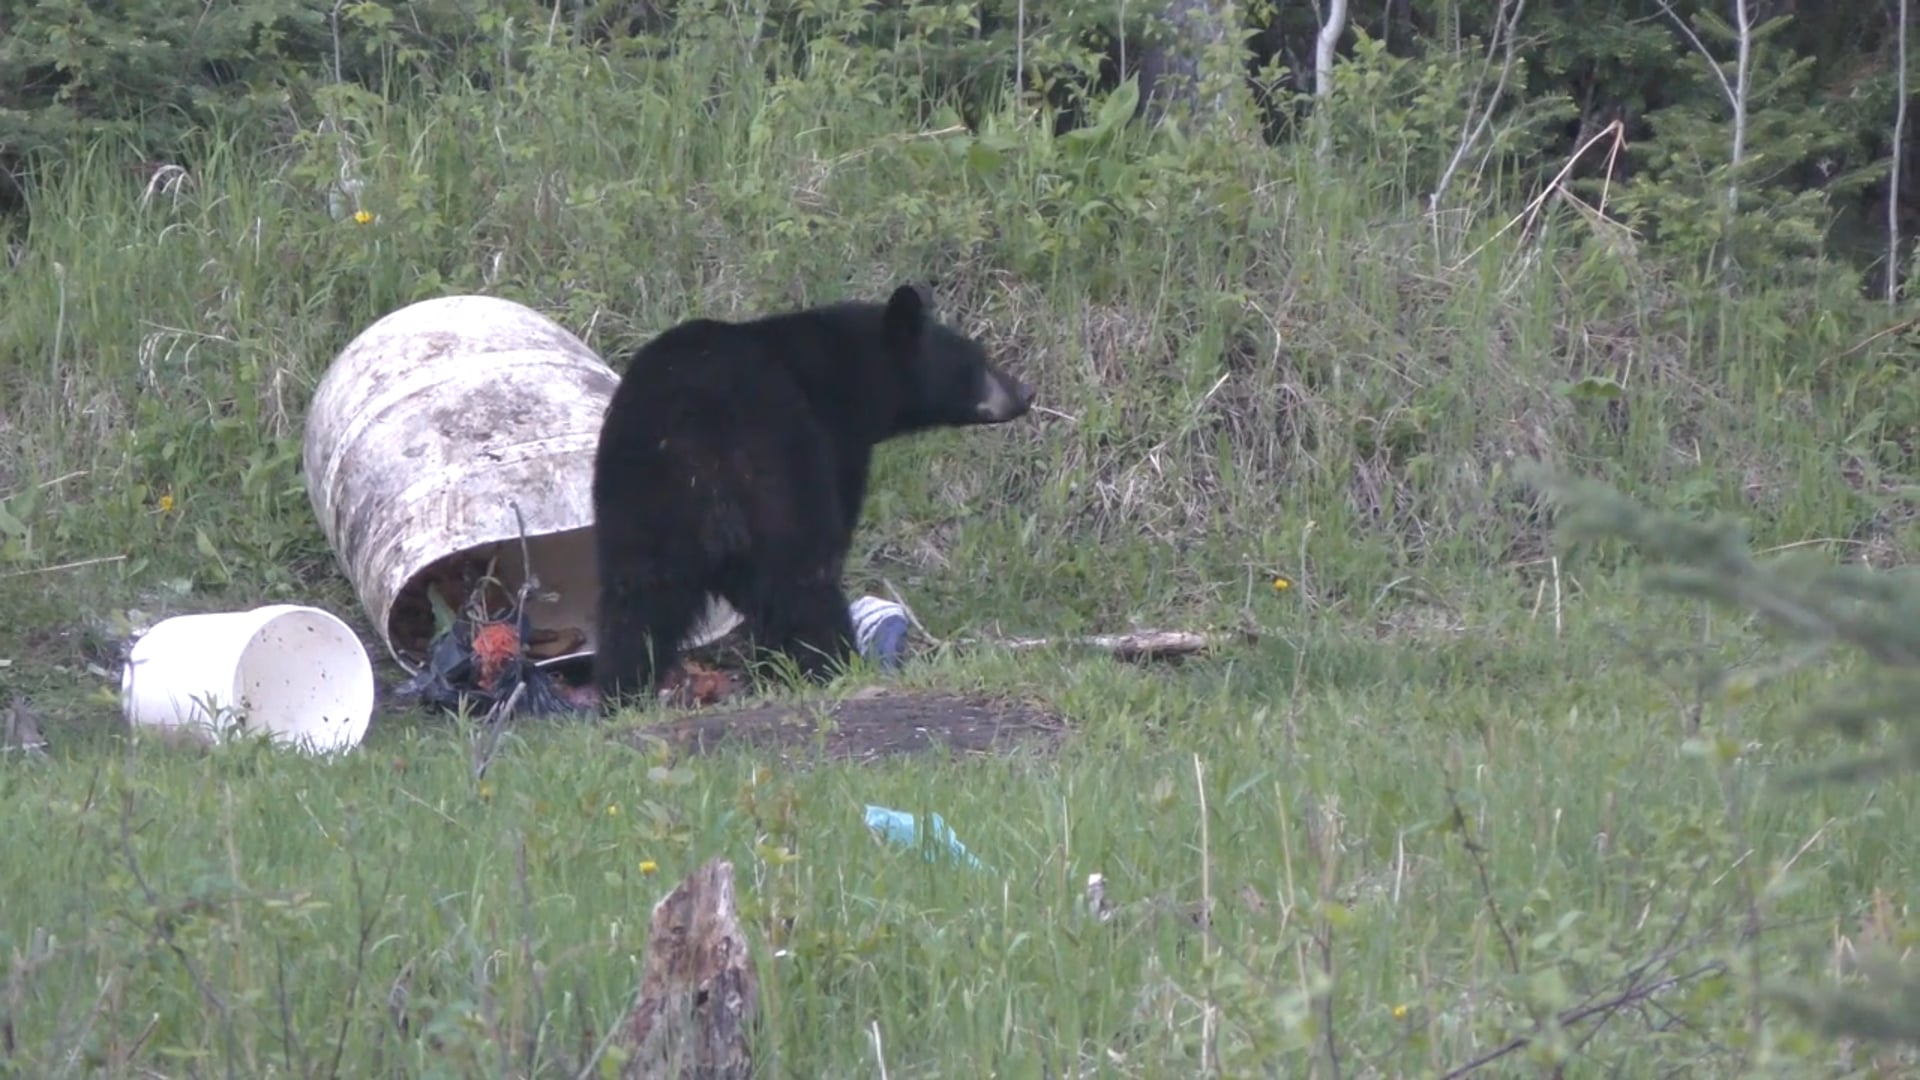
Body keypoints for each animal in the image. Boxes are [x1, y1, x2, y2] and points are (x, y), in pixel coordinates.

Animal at [589, 282, 1035, 709]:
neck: (853, 373)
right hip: (773, 469)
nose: (1025, 392)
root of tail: (691, 426)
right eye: (976, 360)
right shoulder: (835, 440)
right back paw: (834, 662)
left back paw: (621, 691)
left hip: (639, 498)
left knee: (634, 601)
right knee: (804, 575)